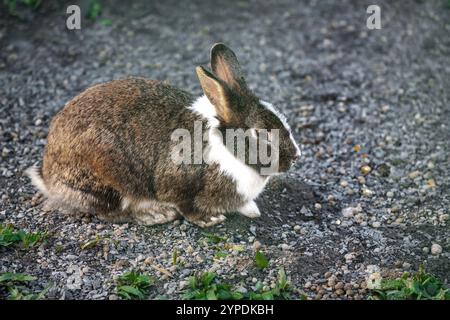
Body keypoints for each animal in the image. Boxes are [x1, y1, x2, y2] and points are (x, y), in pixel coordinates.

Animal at [23, 43, 298, 228]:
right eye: (261, 133)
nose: (296, 156)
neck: (226, 145)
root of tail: (48, 175)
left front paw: (251, 210)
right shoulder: (179, 183)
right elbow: (186, 206)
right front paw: (209, 219)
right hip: (106, 180)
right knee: (113, 212)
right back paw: (156, 215)